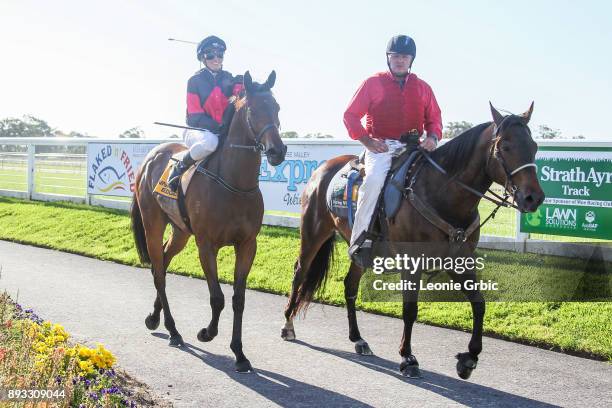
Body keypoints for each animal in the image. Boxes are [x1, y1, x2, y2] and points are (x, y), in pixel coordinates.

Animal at [131, 71, 286, 372]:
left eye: (277, 108)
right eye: (253, 110)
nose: (278, 151)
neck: (235, 184)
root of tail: (150, 157)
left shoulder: (247, 245)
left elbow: (238, 299)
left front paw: (239, 353)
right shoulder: (206, 245)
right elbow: (217, 297)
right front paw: (207, 333)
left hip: (180, 232)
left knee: (163, 261)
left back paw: (155, 318)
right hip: (153, 224)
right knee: (158, 272)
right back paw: (173, 330)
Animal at [282, 103, 544, 380]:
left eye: (534, 146)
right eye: (505, 146)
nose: (533, 197)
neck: (440, 193)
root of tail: (323, 169)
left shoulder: (460, 260)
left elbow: (479, 303)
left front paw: (469, 358)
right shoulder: (411, 262)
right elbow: (410, 309)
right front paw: (408, 357)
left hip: (361, 252)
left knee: (350, 285)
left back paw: (358, 339)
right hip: (312, 234)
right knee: (300, 273)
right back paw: (288, 324)